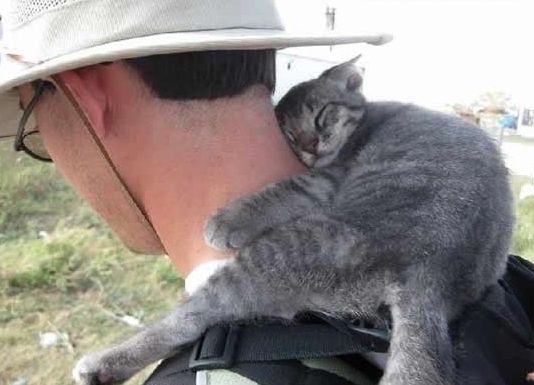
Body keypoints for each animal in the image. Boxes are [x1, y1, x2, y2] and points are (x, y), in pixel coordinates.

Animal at [72, 57, 516, 384]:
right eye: (288, 132)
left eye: (321, 116)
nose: (310, 144)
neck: (364, 117)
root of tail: (428, 278)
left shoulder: (325, 177)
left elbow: (282, 190)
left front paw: (227, 220)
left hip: (280, 253)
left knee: (190, 320)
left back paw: (101, 366)